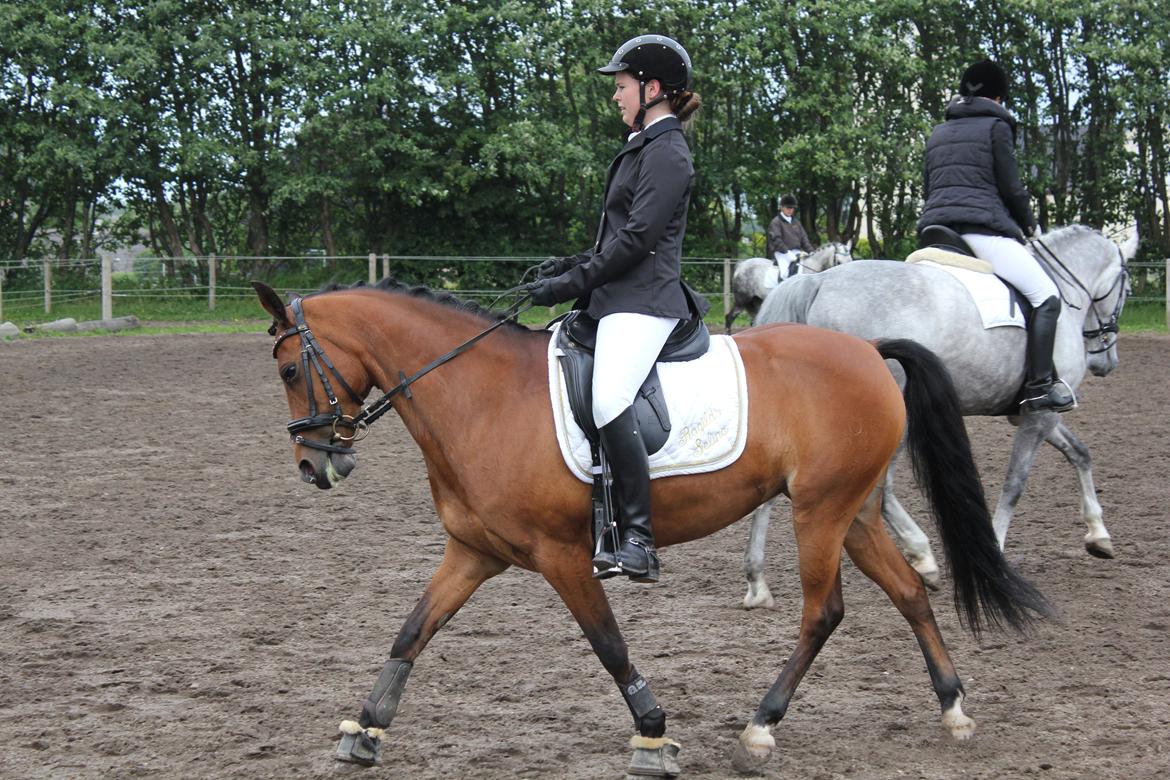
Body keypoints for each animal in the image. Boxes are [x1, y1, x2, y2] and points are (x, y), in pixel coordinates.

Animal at [251, 277, 1050, 777]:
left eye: (290, 369)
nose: (312, 465)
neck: (479, 397)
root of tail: (868, 350)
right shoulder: (474, 551)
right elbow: (413, 630)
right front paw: (366, 728)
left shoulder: (561, 555)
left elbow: (608, 645)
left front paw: (653, 736)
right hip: (848, 510)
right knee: (909, 594)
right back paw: (952, 709)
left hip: (820, 513)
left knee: (824, 612)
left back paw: (760, 729)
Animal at [724, 242, 853, 333]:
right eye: (839, 262)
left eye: (851, 259)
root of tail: (741, 265)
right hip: (742, 300)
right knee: (729, 318)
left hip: (757, 301)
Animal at [741, 226, 1135, 609]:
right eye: (1126, 286)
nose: (1106, 361)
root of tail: (819, 282)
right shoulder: (1042, 415)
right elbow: (1015, 484)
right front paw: (995, 555)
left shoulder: (1034, 414)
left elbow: (1080, 453)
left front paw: (1098, 534)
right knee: (880, 491)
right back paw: (923, 556)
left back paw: (758, 582)